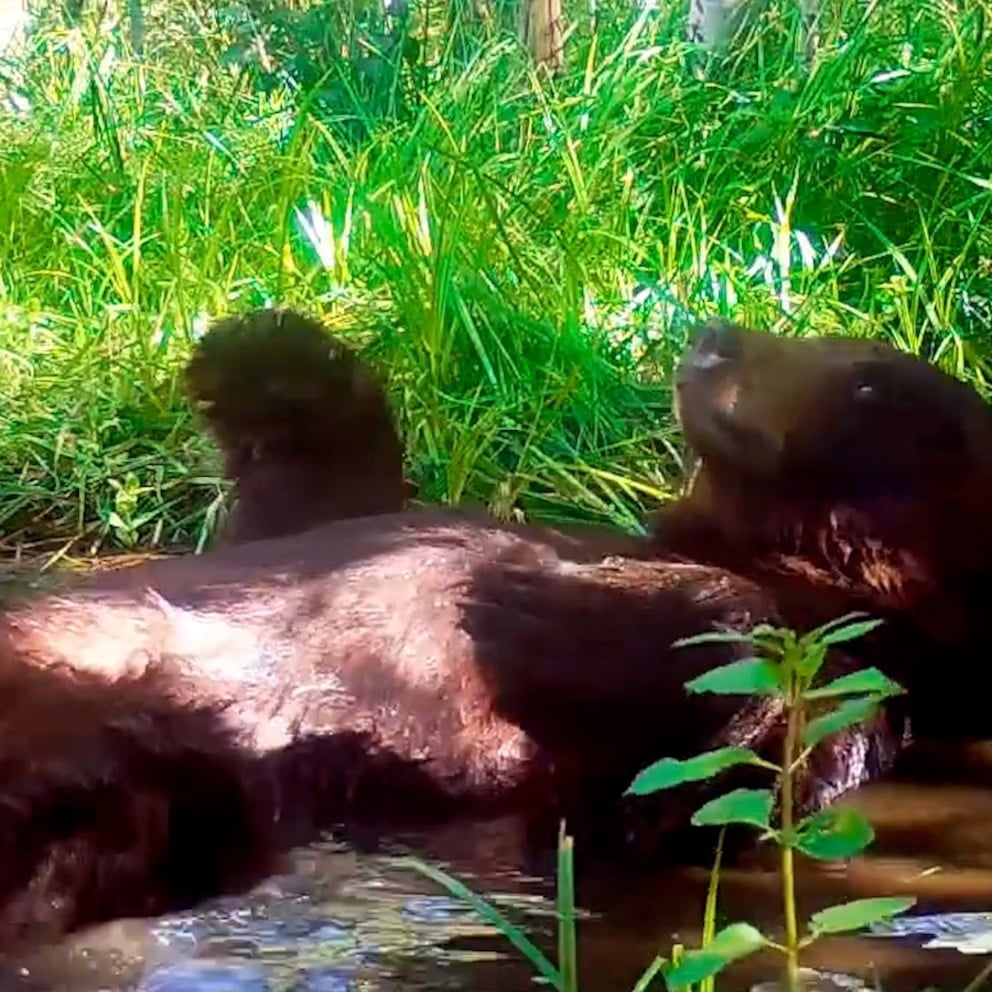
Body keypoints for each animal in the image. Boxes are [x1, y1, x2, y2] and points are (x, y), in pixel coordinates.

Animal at [1, 310, 992, 944]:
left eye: (868, 384)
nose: (716, 338)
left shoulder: (849, 691)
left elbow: (721, 774)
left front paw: (521, 600)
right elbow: (318, 503)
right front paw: (272, 357)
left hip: (159, 771)